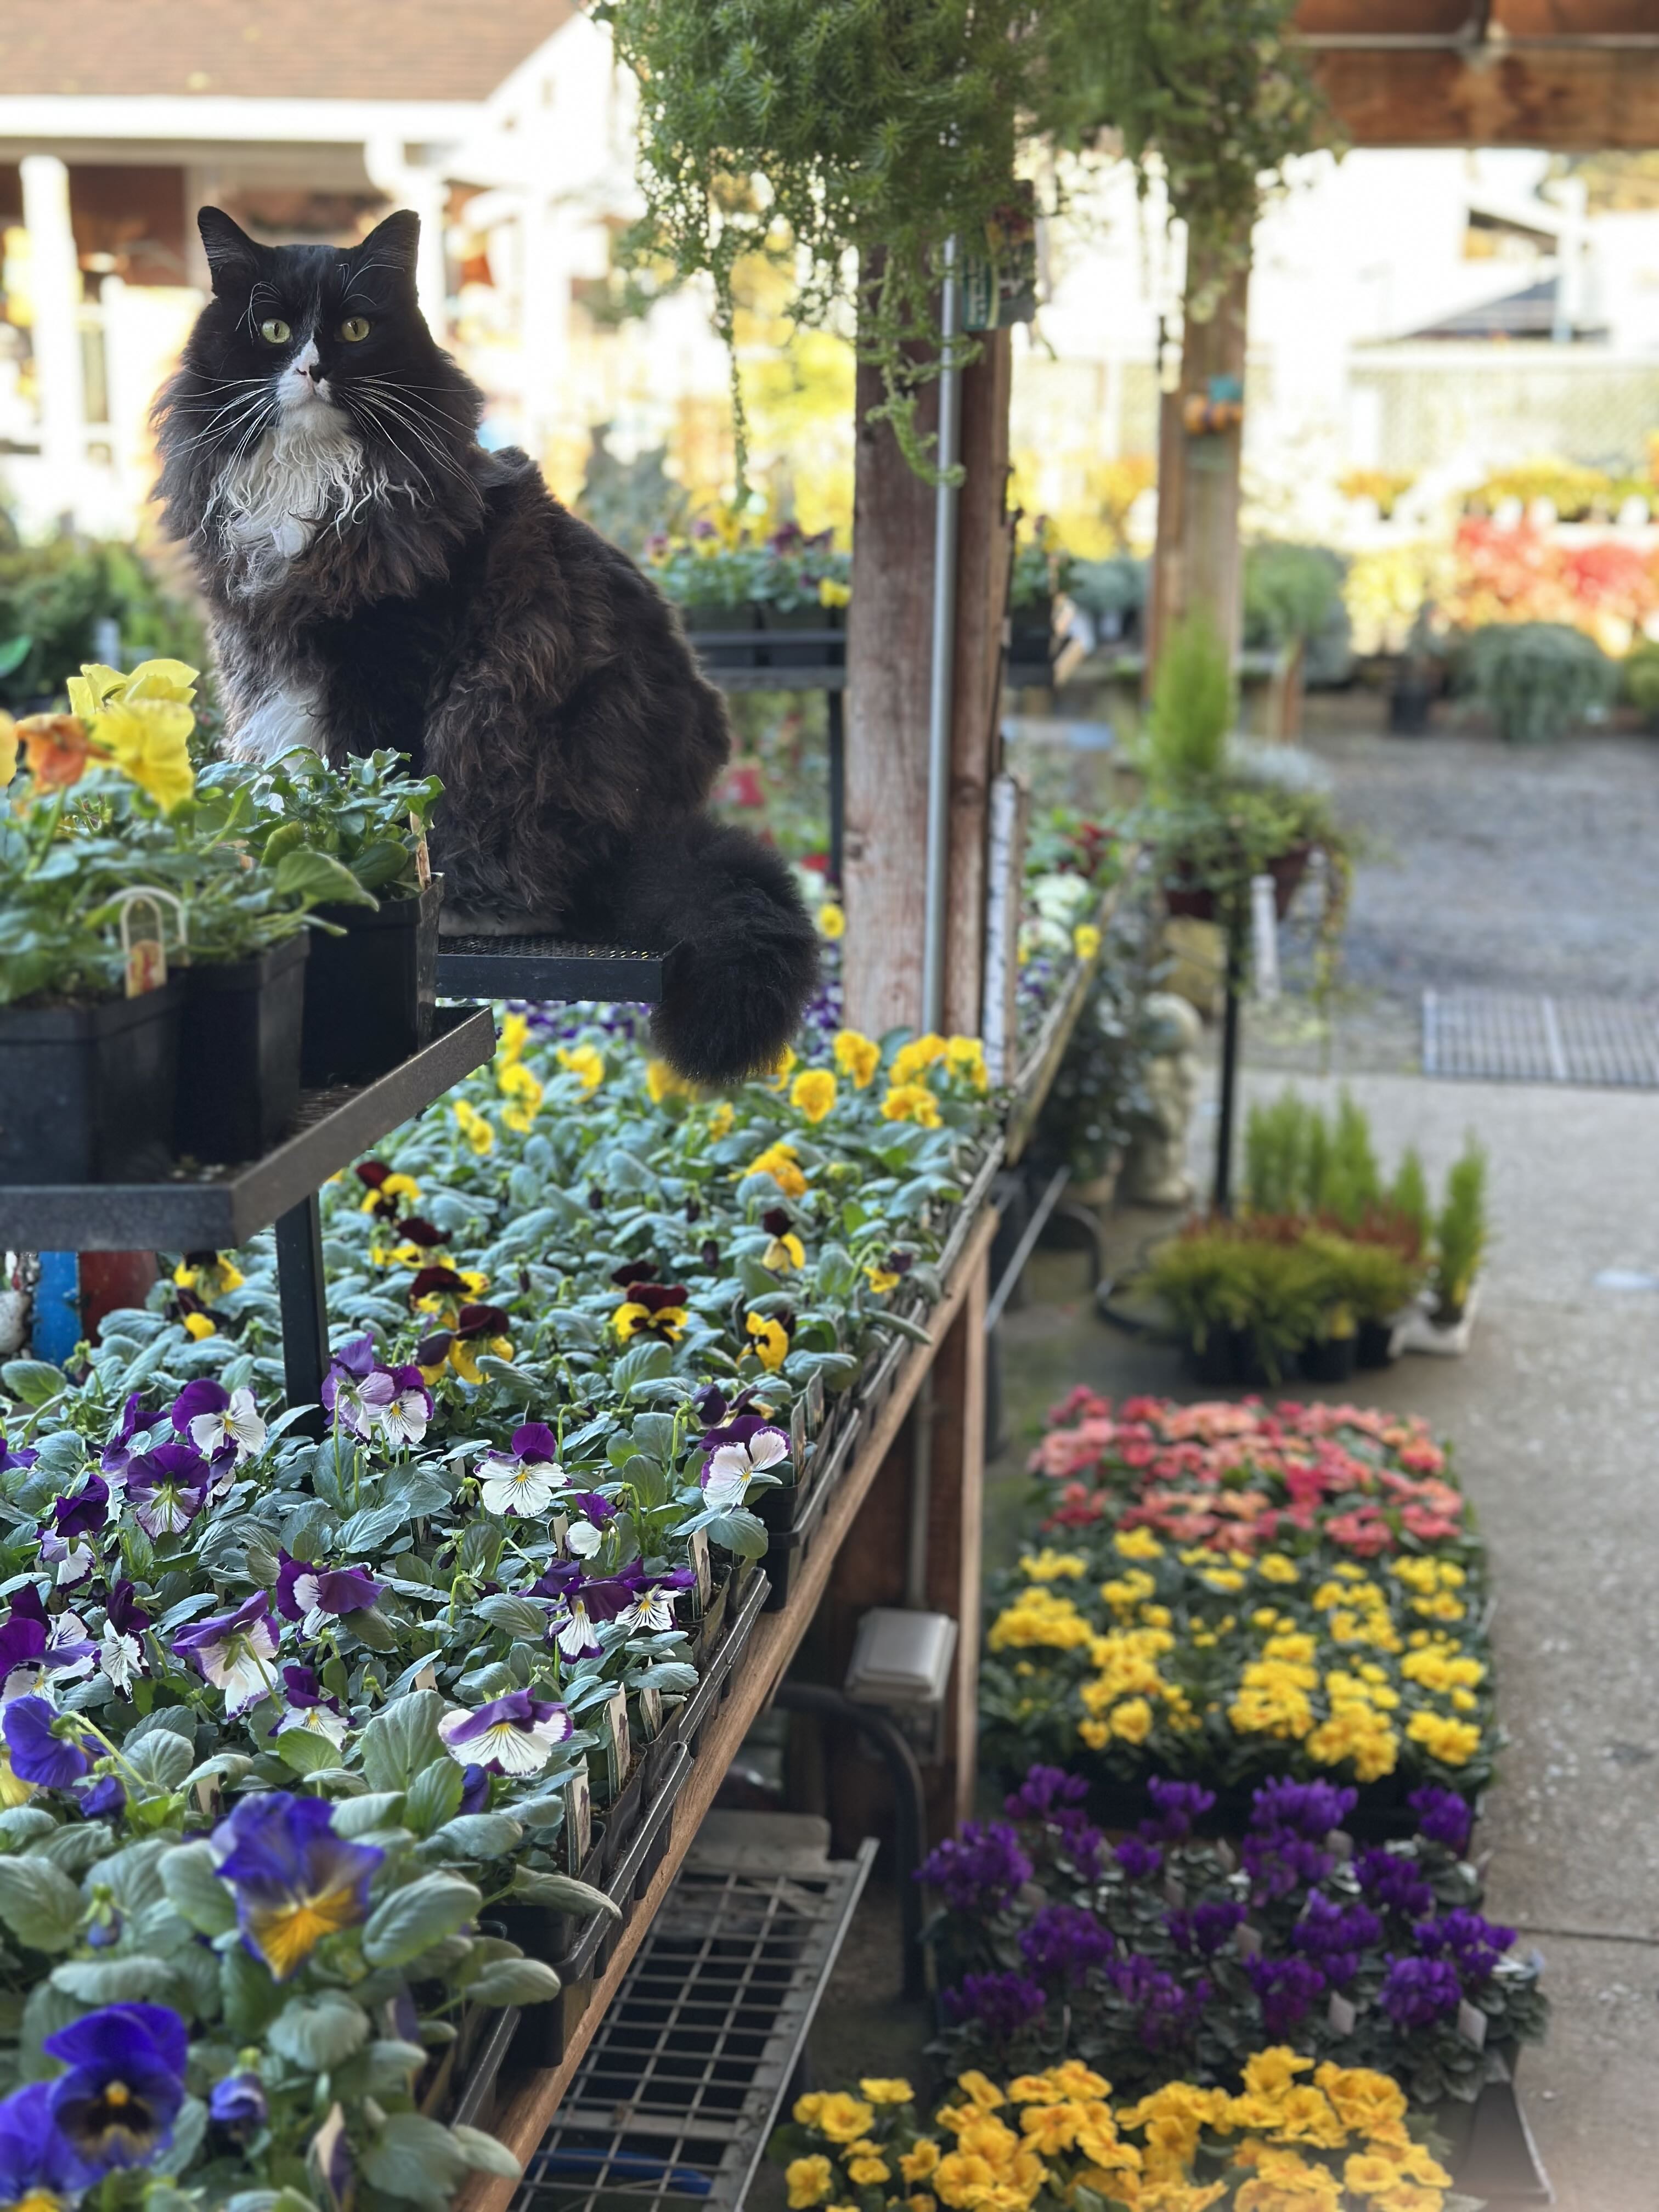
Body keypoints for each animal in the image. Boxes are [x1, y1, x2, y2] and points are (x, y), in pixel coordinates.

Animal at [152, 206, 818, 1085]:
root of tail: (660, 828)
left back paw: (473, 908)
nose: (312, 369)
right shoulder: (265, 657)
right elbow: (288, 781)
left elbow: (372, 793)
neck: (314, 480)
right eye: (272, 330)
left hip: (507, 716)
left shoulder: (392, 668)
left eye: (357, 329)